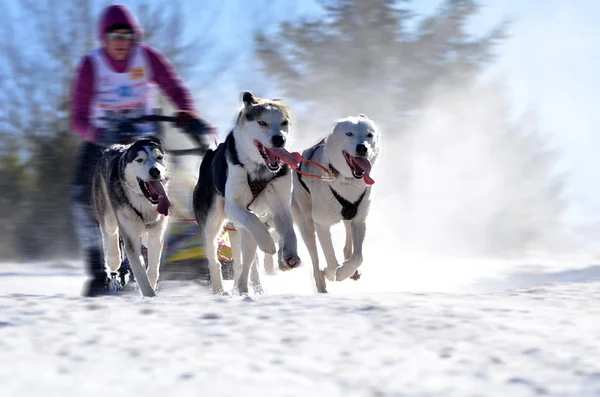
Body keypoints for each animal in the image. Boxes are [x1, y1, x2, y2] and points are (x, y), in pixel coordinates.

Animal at [91, 135, 171, 296]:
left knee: (144, 239)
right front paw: (150, 296)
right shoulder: (130, 237)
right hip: (108, 215)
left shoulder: (156, 234)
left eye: (159, 157)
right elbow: (140, 272)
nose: (155, 171)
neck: (144, 202)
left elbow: (153, 269)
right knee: (110, 234)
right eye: (139, 160)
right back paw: (113, 259)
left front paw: (151, 285)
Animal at [195, 91, 302, 292]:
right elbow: (252, 219)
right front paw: (268, 243)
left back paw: (243, 288)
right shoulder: (234, 206)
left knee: (245, 265)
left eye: (284, 122)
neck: (260, 171)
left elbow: (289, 230)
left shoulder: (281, 206)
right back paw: (219, 290)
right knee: (215, 260)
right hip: (212, 225)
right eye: (262, 122)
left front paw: (290, 254)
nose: (279, 139)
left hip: (244, 235)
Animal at [290, 113, 380, 290]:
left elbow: (358, 256)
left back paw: (352, 271)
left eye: (369, 135)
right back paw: (321, 283)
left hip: (349, 219)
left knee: (348, 245)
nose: (362, 148)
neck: (346, 180)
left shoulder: (359, 220)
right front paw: (332, 273)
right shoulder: (321, 224)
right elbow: (330, 260)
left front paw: (345, 271)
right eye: (349, 134)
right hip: (307, 224)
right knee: (315, 259)